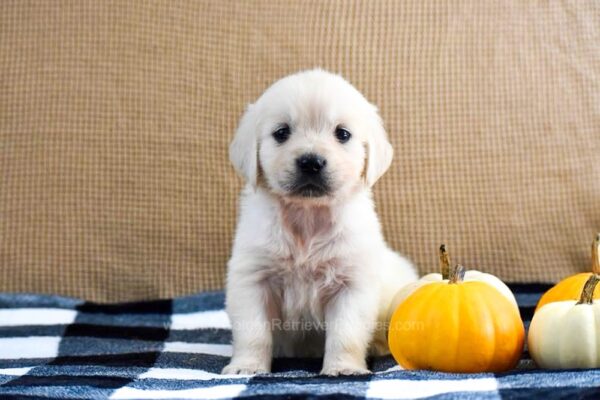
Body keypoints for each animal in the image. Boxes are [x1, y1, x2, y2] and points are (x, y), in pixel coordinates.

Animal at [223, 69, 414, 376]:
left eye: (343, 134)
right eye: (281, 133)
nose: (311, 162)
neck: (307, 218)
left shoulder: (351, 283)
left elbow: (346, 334)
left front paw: (343, 368)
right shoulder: (253, 279)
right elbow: (253, 331)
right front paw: (247, 366)